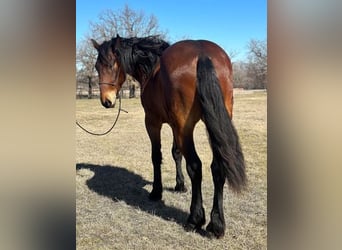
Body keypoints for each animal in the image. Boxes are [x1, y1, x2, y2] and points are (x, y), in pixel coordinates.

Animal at [91, 35, 246, 238]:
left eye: (111, 65)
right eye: (96, 67)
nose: (106, 101)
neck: (152, 67)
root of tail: (202, 53)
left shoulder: (153, 123)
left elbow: (157, 157)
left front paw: (156, 192)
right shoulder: (174, 126)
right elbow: (176, 153)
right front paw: (180, 185)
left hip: (185, 128)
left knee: (195, 166)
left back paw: (194, 219)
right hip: (212, 124)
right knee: (218, 167)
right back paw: (216, 225)